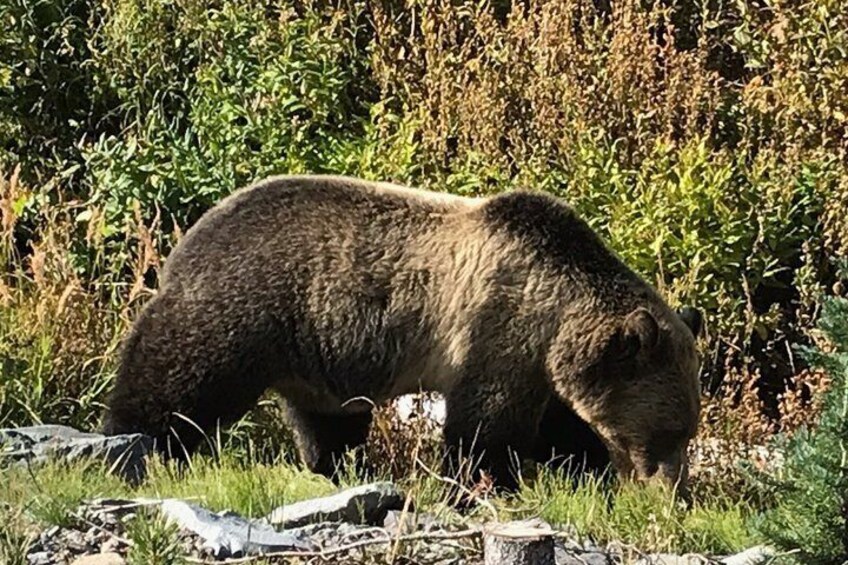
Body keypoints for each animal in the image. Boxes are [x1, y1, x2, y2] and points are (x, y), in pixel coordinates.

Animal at [102, 174, 703, 491]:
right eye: (669, 430)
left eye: (686, 430)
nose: (671, 486)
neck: (558, 313)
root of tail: (187, 239)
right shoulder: (499, 333)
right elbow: (484, 433)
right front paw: (484, 484)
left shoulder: (543, 369)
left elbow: (558, 429)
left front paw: (586, 471)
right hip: (240, 312)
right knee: (177, 382)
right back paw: (129, 442)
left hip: (315, 358)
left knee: (329, 425)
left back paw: (339, 470)